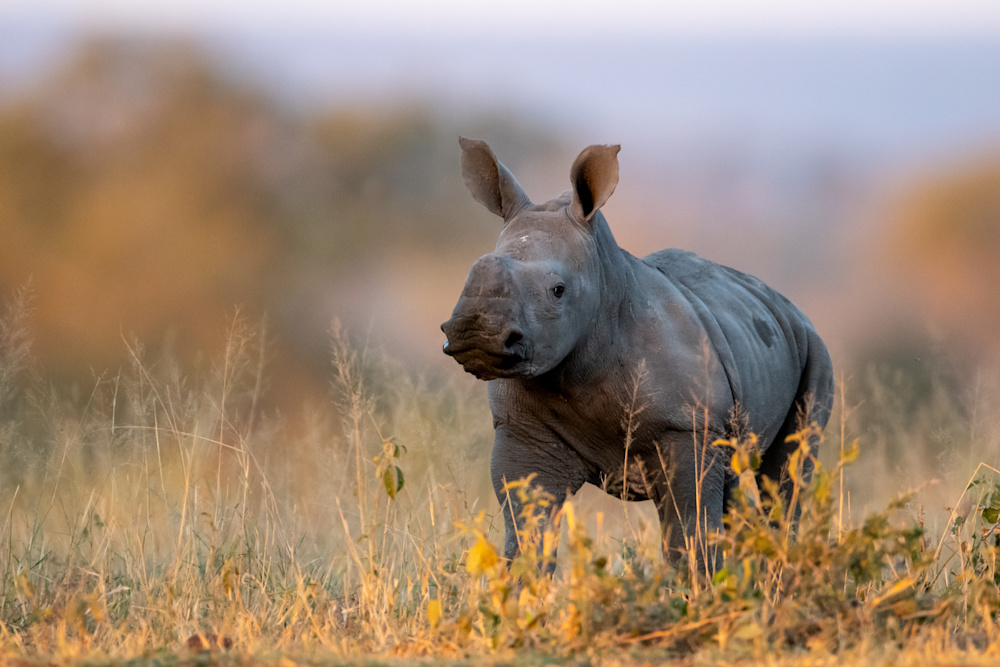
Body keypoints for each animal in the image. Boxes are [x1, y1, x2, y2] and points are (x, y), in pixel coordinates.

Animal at [441, 138, 834, 570]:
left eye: (558, 291)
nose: (475, 333)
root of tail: (786, 304)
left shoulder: (690, 427)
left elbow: (689, 527)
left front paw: (697, 586)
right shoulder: (522, 428)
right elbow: (528, 530)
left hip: (814, 348)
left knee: (786, 476)